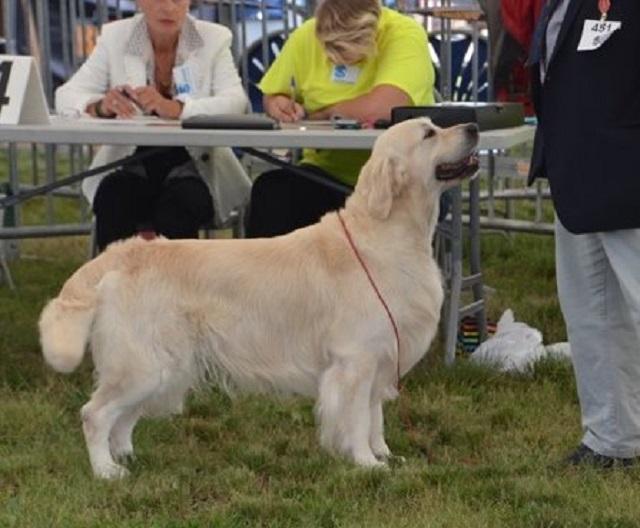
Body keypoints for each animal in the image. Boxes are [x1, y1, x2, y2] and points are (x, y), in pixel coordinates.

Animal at [40, 118, 478, 478]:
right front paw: (366, 464)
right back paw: (106, 471)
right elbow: (356, 420)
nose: (473, 126)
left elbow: (375, 418)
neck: (388, 234)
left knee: (124, 417)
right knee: (95, 414)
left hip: (163, 366)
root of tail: (123, 252)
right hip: (143, 364)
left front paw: (385, 455)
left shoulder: (382, 355)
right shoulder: (355, 360)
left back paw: (126, 457)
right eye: (429, 133)